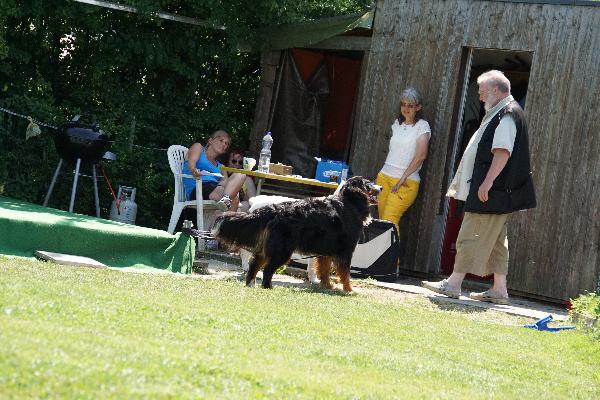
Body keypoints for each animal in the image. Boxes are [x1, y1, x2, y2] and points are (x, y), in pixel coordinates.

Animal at [212, 176, 379, 292]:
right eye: (369, 184)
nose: (381, 187)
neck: (349, 203)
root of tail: (273, 209)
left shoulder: (325, 253)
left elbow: (324, 271)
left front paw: (327, 286)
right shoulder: (345, 251)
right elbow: (345, 274)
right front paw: (349, 290)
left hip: (270, 249)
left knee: (255, 264)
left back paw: (250, 284)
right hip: (282, 251)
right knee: (267, 269)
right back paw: (267, 287)